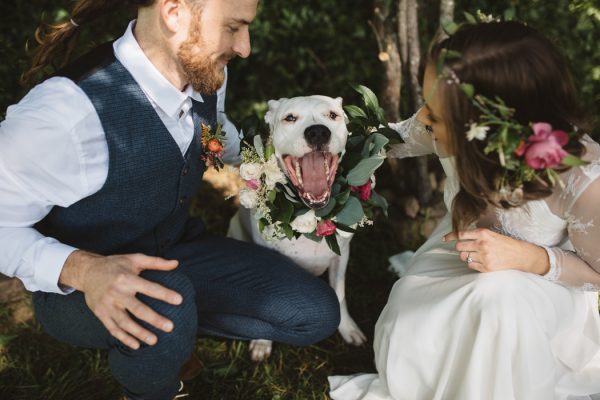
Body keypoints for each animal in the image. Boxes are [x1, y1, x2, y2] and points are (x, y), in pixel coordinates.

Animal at [229, 95, 366, 360]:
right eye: (290, 118)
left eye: (333, 115)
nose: (318, 132)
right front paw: (262, 342)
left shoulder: (341, 256)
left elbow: (340, 294)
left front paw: (347, 328)